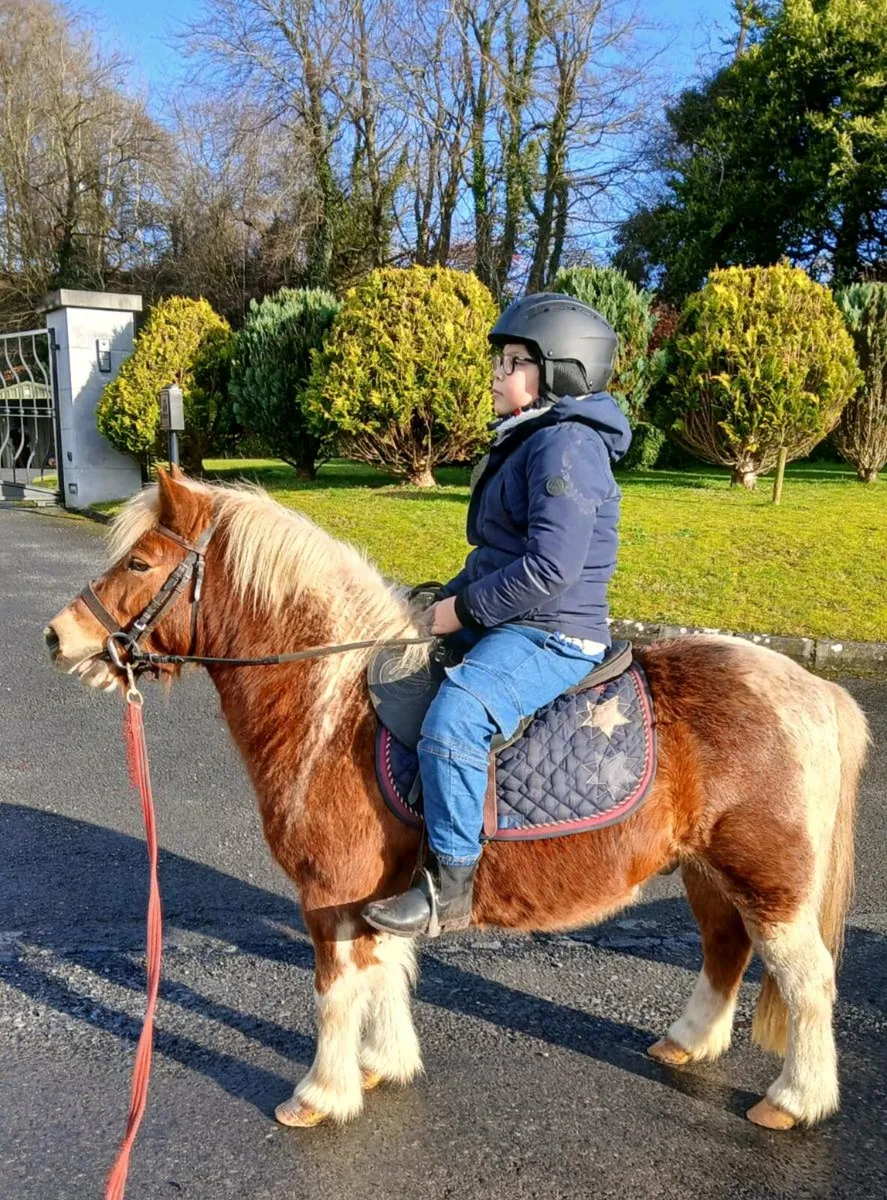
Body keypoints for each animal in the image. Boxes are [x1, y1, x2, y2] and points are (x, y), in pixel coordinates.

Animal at [45, 465, 869, 1134]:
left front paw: (321, 1093)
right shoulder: (381, 893)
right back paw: (687, 1042)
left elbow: (336, 988)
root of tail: (814, 689)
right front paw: (381, 1065)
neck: (334, 703)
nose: (57, 636)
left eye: (140, 561)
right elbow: (384, 971)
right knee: (725, 948)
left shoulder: (331, 893)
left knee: (807, 980)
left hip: (769, 880)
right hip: (706, 871)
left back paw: (794, 1100)